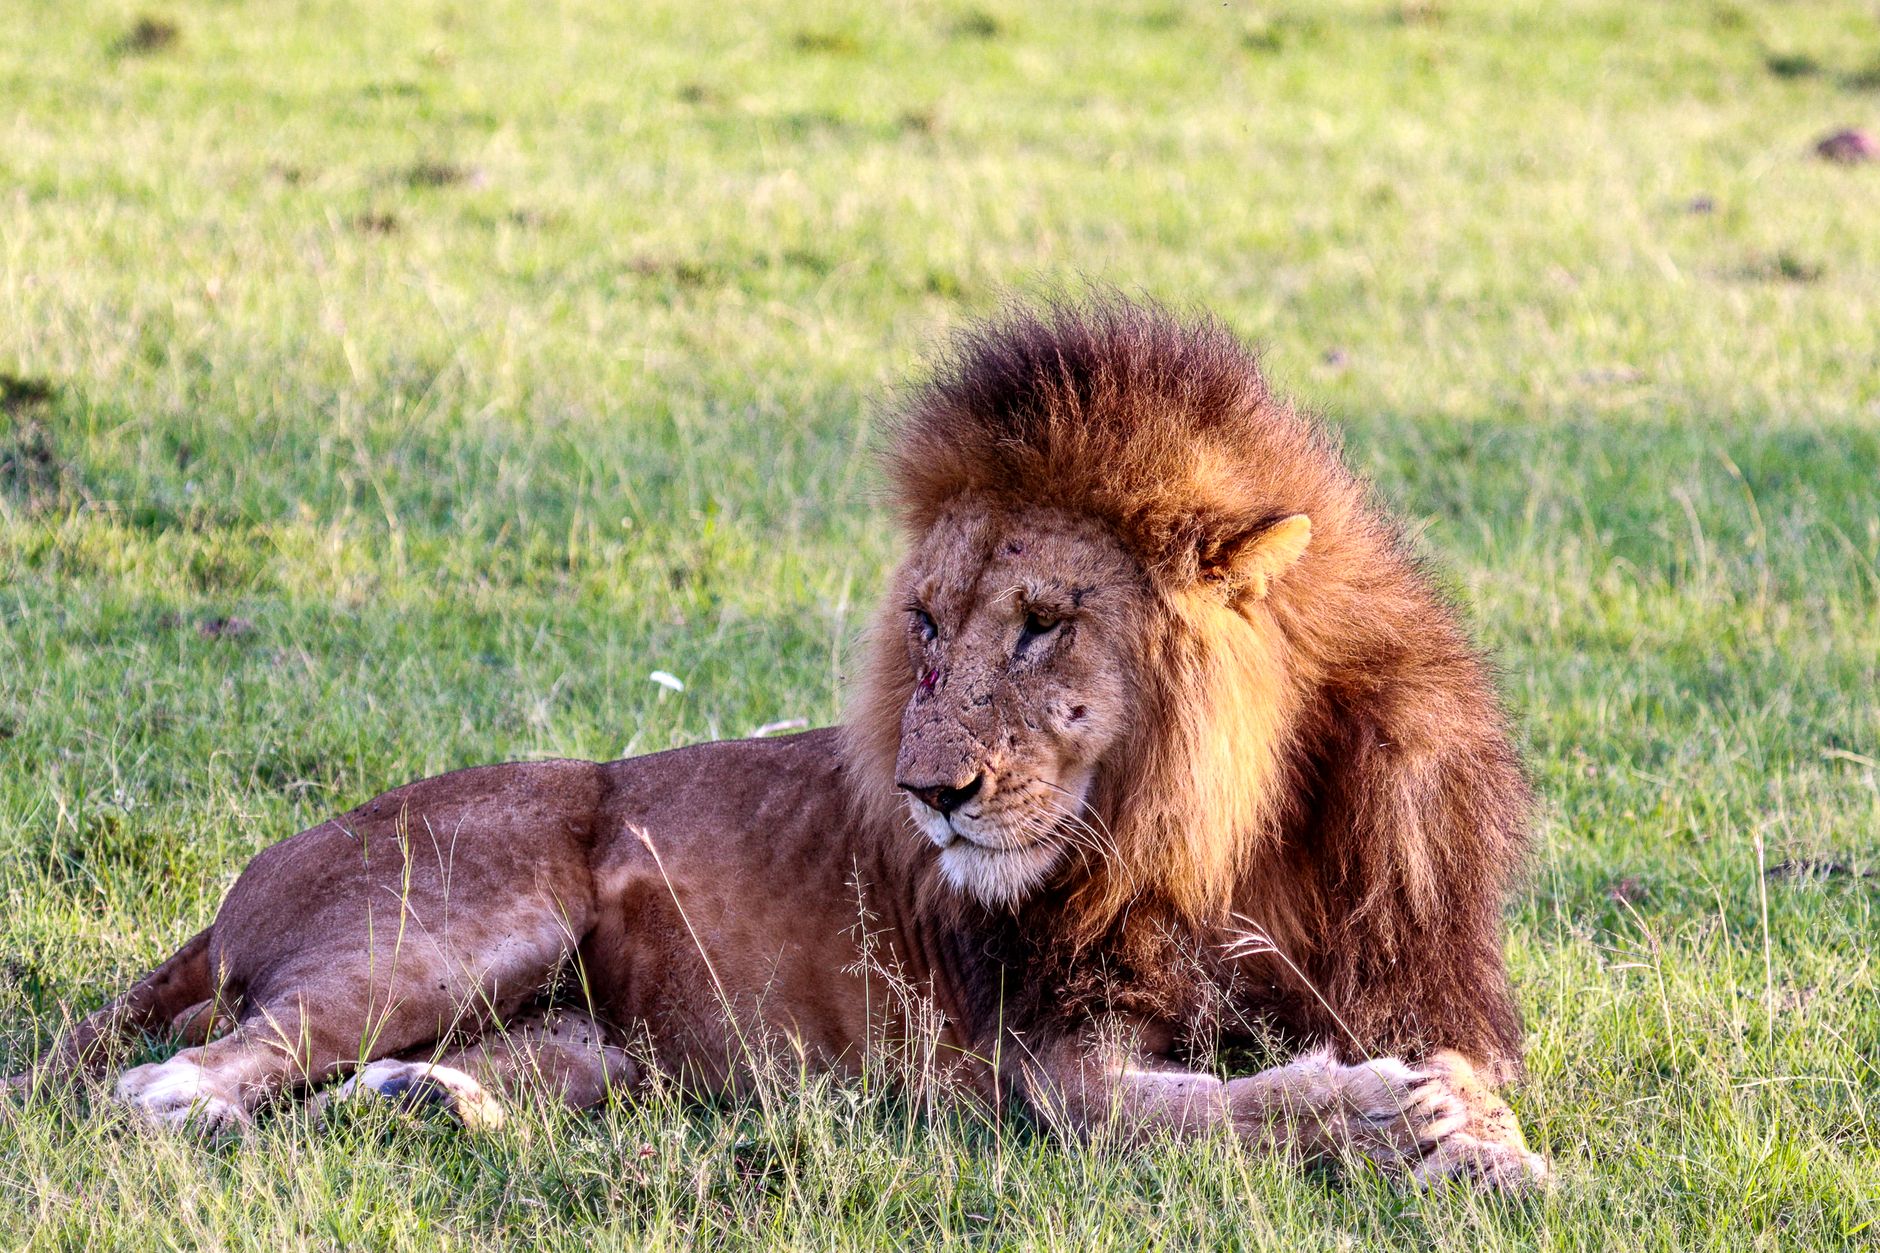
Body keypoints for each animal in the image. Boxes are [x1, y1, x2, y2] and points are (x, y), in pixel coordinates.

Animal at [14, 300, 1545, 1189]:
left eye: (1043, 625)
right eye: (923, 623)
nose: (930, 793)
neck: (1216, 833)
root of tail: (239, 885)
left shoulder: (1414, 975)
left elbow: (1447, 1078)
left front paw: (1480, 1143)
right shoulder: (1043, 1067)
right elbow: (1207, 1110)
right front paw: (1394, 1119)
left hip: (595, 1040)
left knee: (429, 1078)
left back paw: (426, 1101)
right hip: (464, 907)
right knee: (175, 1077)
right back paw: (221, 1113)